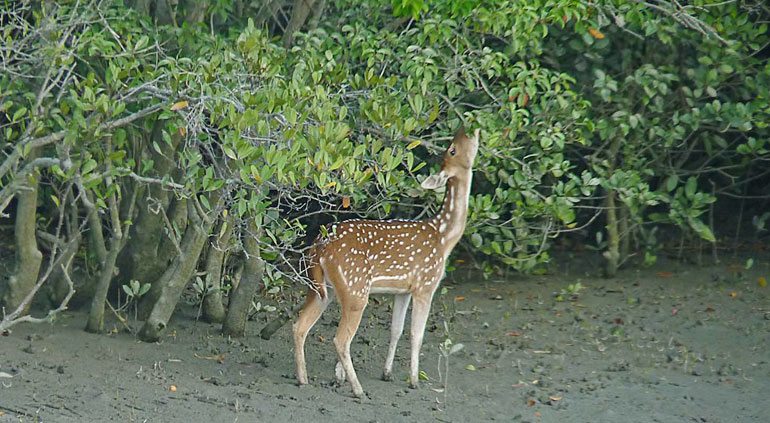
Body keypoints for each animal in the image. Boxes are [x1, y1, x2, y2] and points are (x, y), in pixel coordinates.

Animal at [292, 127, 476, 400]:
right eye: (452, 149)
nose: (468, 129)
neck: (443, 237)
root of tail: (319, 246)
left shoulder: (403, 291)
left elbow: (396, 329)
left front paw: (387, 373)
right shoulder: (426, 284)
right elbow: (417, 334)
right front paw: (414, 381)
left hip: (320, 288)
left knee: (300, 326)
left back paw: (304, 379)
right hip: (356, 288)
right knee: (340, 339)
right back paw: (358, 390)